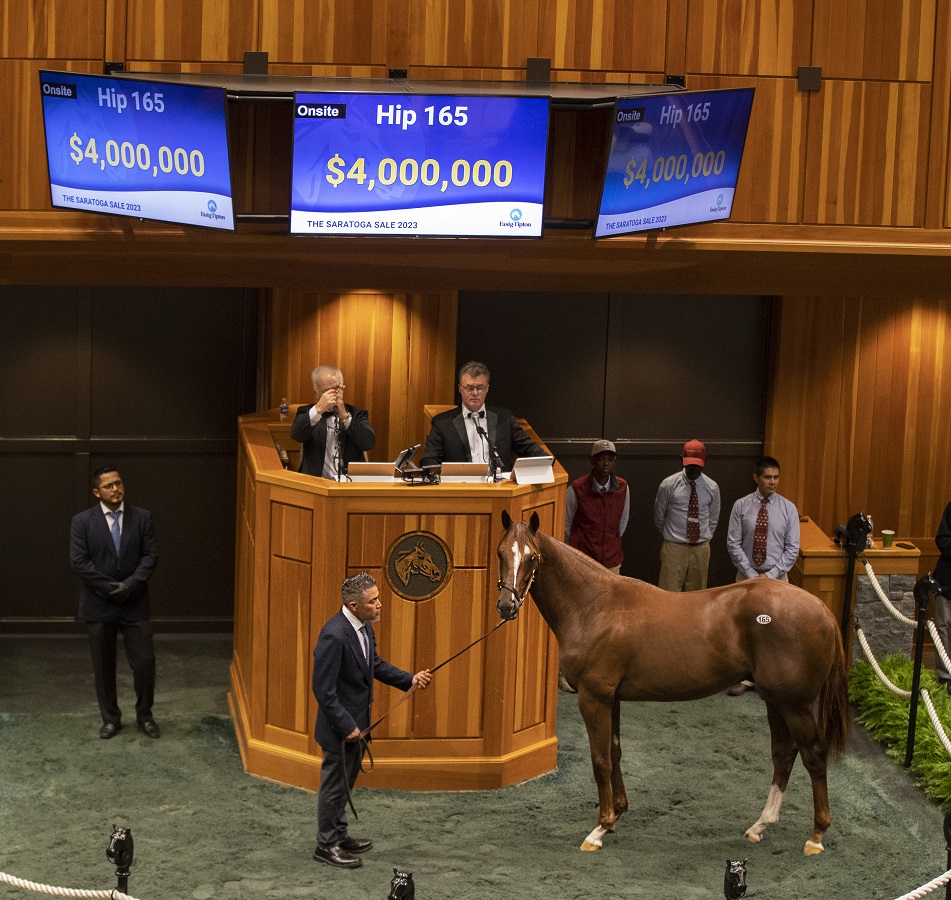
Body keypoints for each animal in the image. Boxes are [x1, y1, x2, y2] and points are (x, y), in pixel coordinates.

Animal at [494, 510, 852, 856]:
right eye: (500, 552)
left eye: (532, 557)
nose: (506, 606)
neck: (595, 606)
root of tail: (823, 610)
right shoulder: (612, 698)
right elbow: (615, 752)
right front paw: (617, 816)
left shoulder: (593, 697)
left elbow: (600, 761)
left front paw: (600, 828)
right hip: (775, 700)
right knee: (783, 754)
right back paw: (760, 826)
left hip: (795, 705)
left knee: (813, 756)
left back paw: (816, 836)